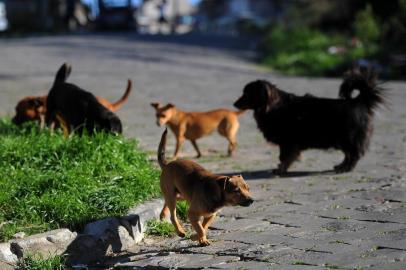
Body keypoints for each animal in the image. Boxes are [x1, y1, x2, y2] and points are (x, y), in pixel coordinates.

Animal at [233, 66, 386, 174]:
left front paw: (280, 170)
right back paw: (340, 166)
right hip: (342, 140)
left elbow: (284, 157)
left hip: (347, 138)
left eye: (247, 94)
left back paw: (345, 168)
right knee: (349, 154)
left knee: (354, 154)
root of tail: (359, 102)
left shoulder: (288, 142)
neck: (273, 107)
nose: (234, 104)